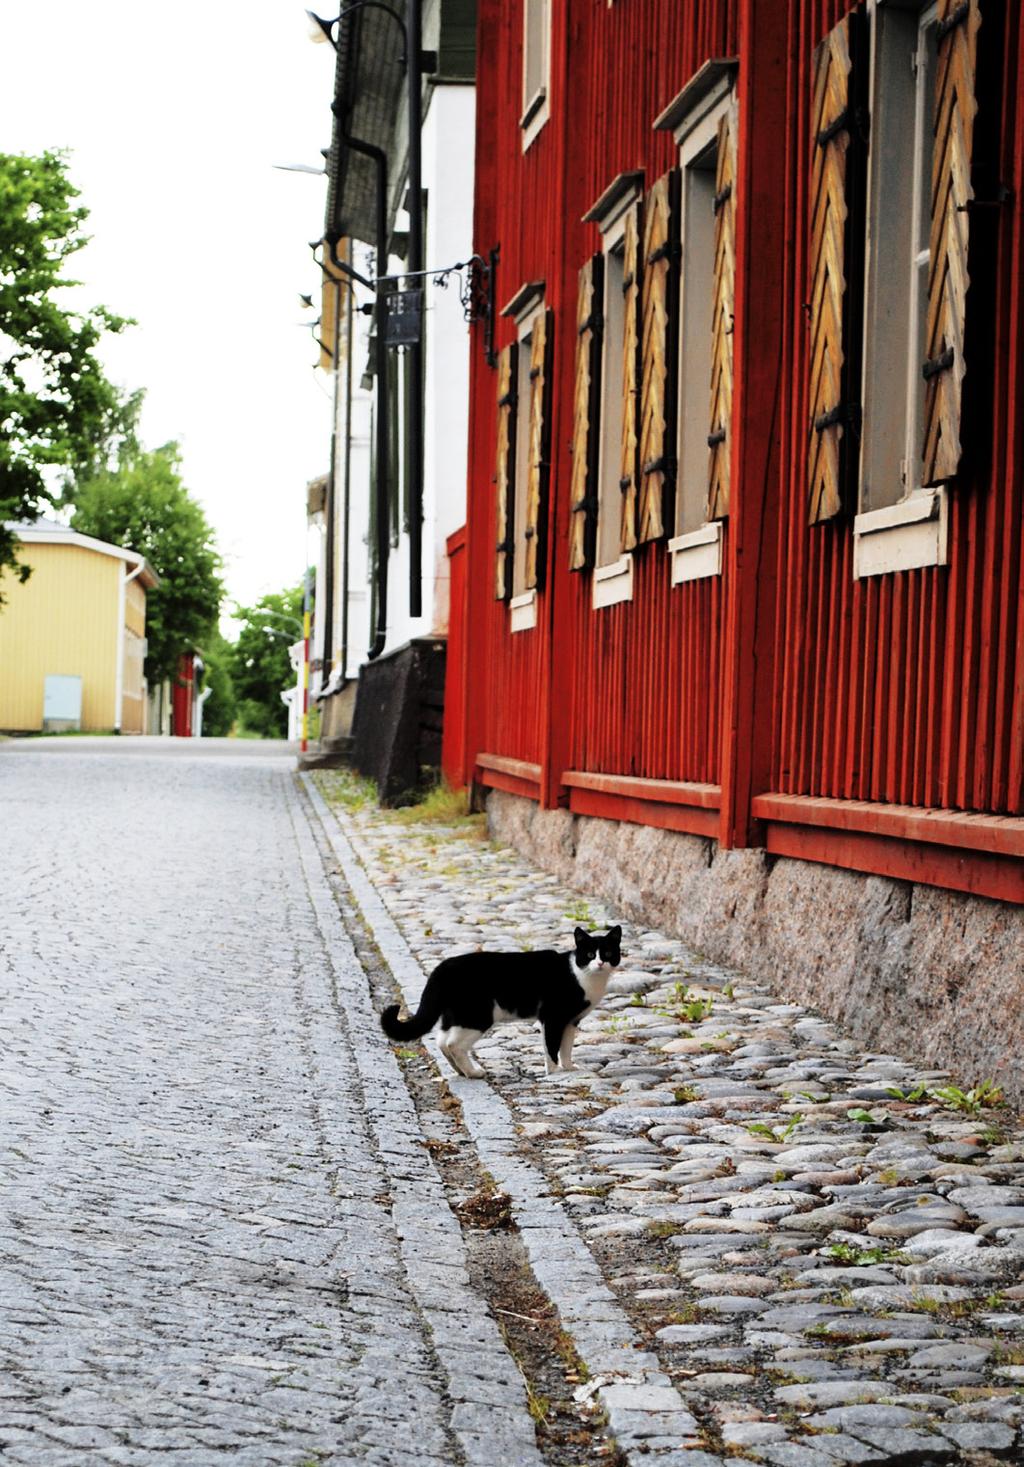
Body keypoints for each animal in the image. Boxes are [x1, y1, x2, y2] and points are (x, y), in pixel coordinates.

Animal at [378, 927, 619, 1079]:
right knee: (454, 1044)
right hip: (478, 1016)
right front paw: (555, 1072)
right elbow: (551, 1046)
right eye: (589, 954)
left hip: (454, 1015)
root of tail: (442, 967)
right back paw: (474, 1073)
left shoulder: (570, 1021)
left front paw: (569, 1067)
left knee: (442, 1041)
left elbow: (566, 1047)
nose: (600, 963)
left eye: (607, 953)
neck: (585, 977)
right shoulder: (553, 1018)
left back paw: (461, 1071)